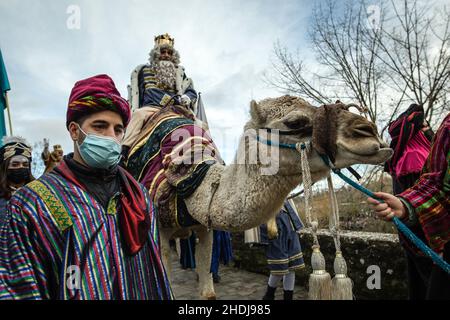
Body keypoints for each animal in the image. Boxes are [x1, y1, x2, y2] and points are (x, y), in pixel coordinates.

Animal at [125, 95, 392, 300]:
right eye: (295, 121)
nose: (368, 132)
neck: (192, 176)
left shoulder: (204, 227)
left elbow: (208, 292)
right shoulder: (159, 227)